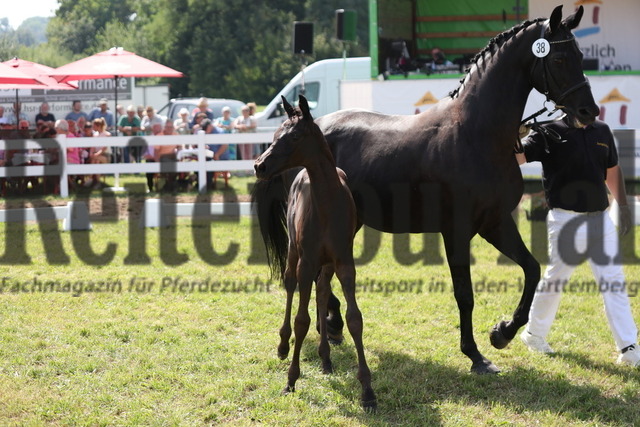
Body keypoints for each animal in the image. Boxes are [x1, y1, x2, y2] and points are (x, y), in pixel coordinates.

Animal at [253, 5, 599, 374]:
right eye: (560, 58)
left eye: (581, 56)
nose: (588, 111)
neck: (476, 134)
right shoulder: (457, 231)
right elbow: (465, 294)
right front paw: (475, 355)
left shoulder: (495, 222)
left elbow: (531, 270)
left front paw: (501, 333)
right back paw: (331, 324)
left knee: (322, 276)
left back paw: (331, 326)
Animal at [254, 95, 377, 410]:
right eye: (275, 134)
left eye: (295, 136)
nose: (259, 165)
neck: (327, 205)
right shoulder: (306, 262)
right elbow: (301, 320)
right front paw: (291, 379)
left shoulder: (344, 263)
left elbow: (354, 319)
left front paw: (368, 391)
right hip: (293, 253)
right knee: (289, 285)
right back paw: (283, 345)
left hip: (328, 263)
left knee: (322, 291)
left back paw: (325, 358)